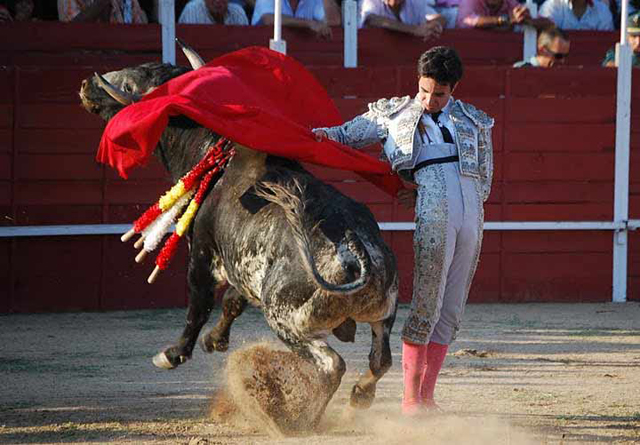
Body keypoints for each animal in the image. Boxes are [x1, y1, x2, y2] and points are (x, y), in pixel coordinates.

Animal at [79, 45, 398, 426]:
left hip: (285, 318)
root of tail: (353, 248)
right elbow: (232, 301)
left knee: (331, 364)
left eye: (129, 85)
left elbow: (198, 305)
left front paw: (174, 353)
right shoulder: (242, 269)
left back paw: (298, 420)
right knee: (381, 359)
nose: (85, 84)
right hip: (383, 312)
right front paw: (214, 341)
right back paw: (359, 396)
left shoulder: (201, 256)